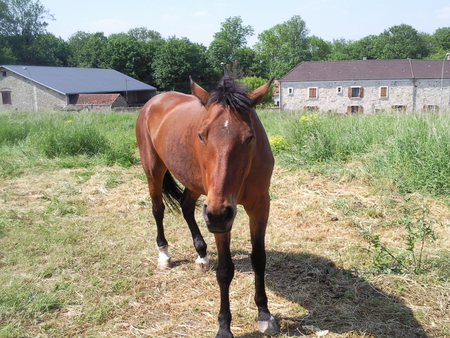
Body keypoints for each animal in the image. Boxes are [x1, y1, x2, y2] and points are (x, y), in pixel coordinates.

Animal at [135, 76, 280, 338]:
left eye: (249, 137)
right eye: (201, 135)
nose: (219, 215)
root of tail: (154, 101)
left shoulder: (259, 206)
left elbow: (259, 258)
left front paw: (265, 314)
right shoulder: (220, 218)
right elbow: (224, 270)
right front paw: (224, 327)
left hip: (197, 187)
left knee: (186, 206)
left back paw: (201, 255)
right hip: (154, 170)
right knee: (158, 209)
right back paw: (164, 254)